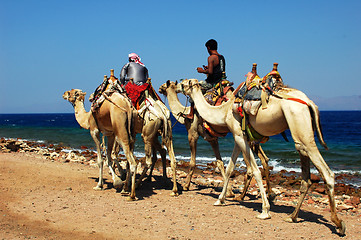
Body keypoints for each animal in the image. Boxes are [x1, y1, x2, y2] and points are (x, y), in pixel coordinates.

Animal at [180, 68, 346, 233]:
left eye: (184, 84)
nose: (178, 83)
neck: (224, 110)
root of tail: (310, 102)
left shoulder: (239, 135)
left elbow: (255, 170)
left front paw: (265, 211)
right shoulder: (238, 136)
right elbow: (229, 169)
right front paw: (220, 200)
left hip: (299, 122)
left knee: (327, 173)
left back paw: (338, 223)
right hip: (300, 129)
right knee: (306, 175)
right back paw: (292, 216)